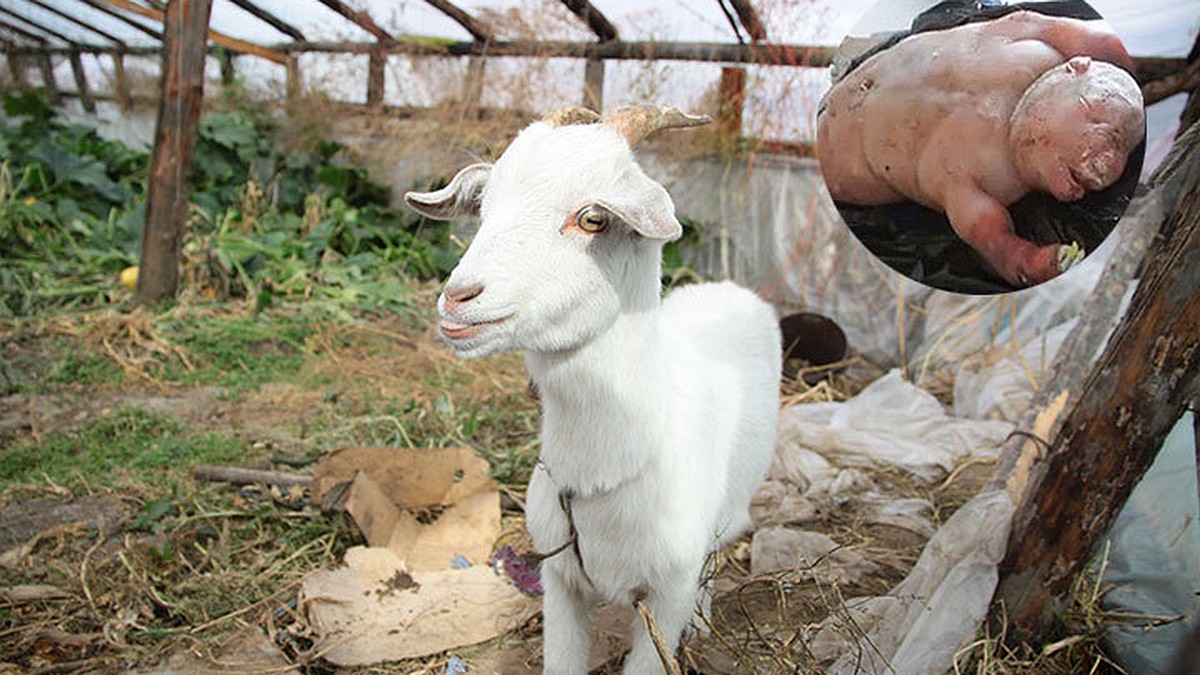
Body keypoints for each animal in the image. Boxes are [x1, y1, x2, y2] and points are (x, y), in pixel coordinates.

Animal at [405, 105, 777, 672]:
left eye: (593, 218)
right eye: (484, 209)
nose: (459, 298)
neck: (603, 474)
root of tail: (730, 288)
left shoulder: (667, 596)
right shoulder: (559, 578)